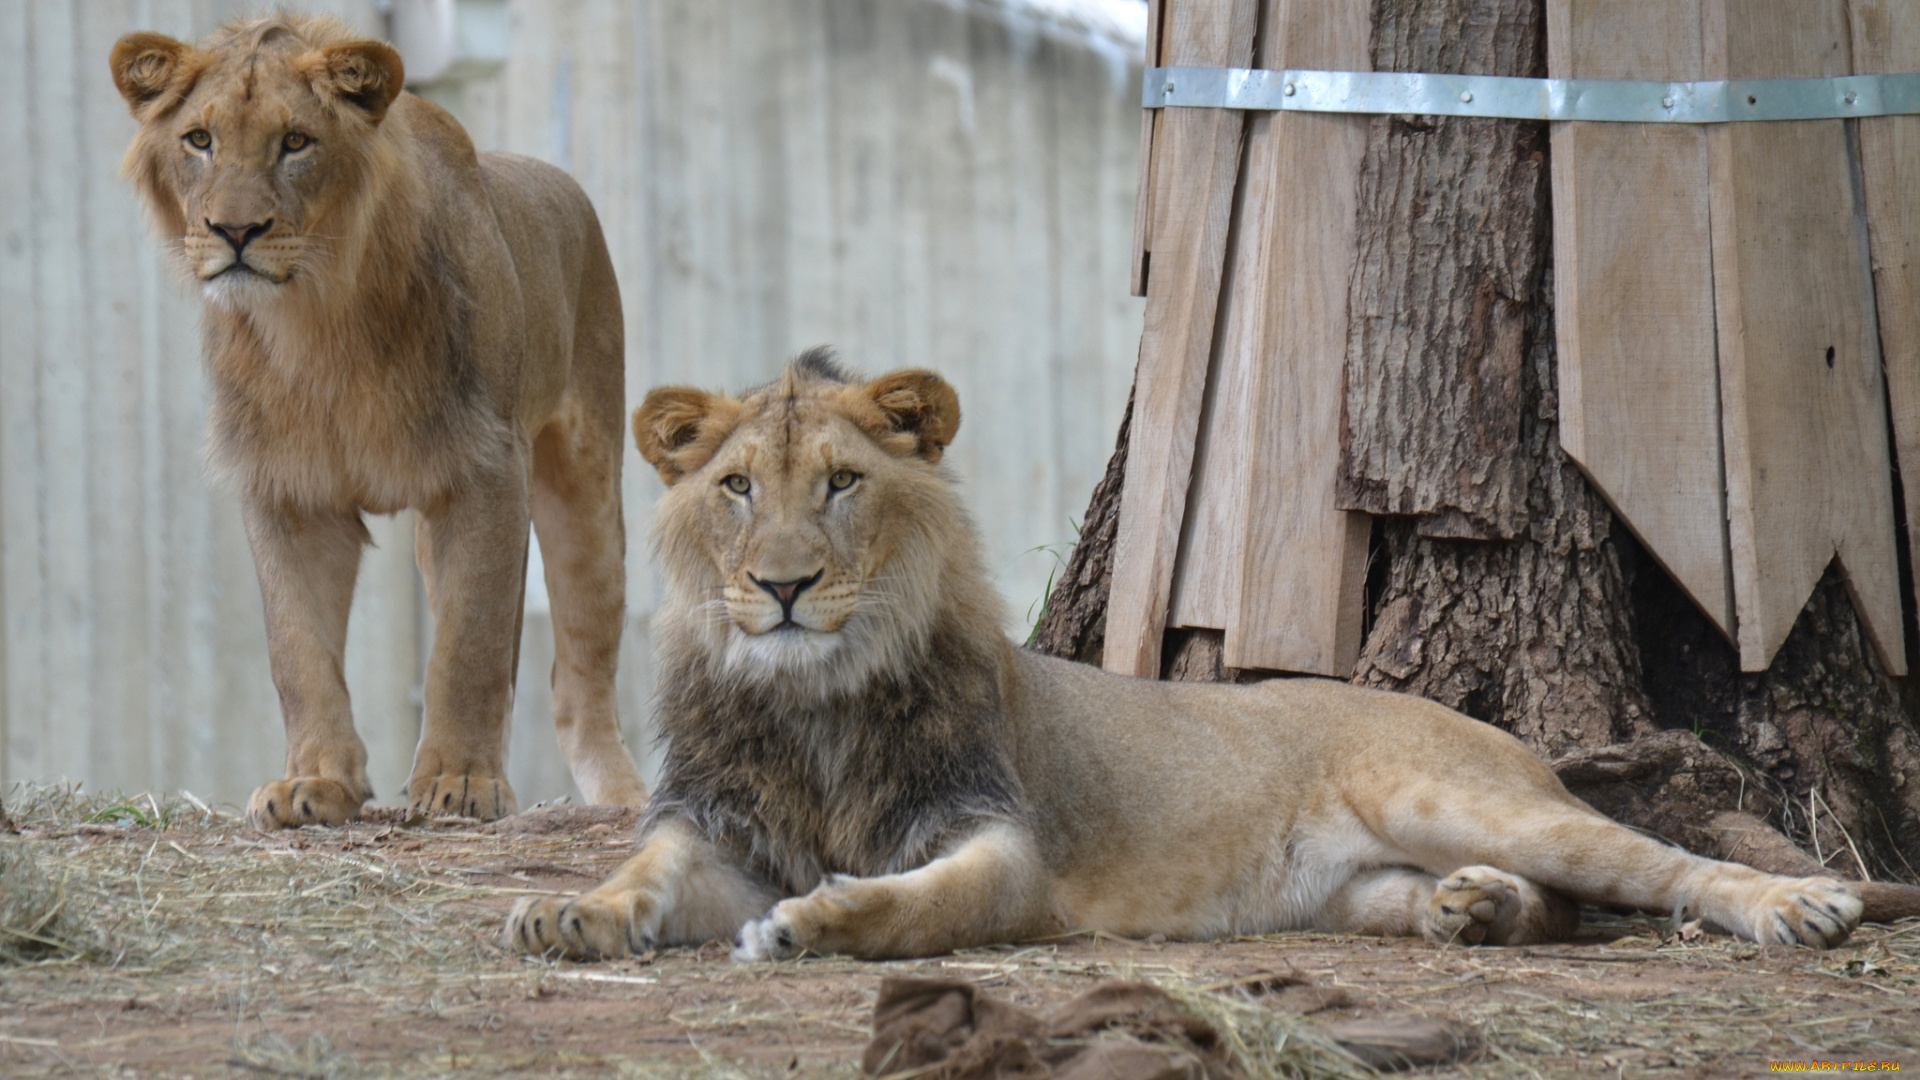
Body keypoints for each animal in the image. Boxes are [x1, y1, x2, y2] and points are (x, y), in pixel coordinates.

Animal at [112, 10, 645, 822]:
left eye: (296, 141)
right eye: (199, 140)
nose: (236, 231)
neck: (317, 321)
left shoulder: (488, 469)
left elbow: (468, 643)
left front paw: (462, 781)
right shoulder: (287, 487)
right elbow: (298, 651)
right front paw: (313, 782)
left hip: (586, 487)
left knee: (578, 676)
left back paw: (624, 800)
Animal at [510, 355, 1858, 957]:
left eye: (842, 483)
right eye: (736, 490)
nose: (783, 587)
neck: (814, 703)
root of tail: (1501, 729)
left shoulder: (999, 843)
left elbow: (928, 899)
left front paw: (824, 916)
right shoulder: (710, 831)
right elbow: (642, 879)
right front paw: (569, 914)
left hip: (1462, 796)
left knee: (1651, 864)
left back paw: (1800, 903)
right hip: (1361, 888)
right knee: (1536, 902)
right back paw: (1475, 908)